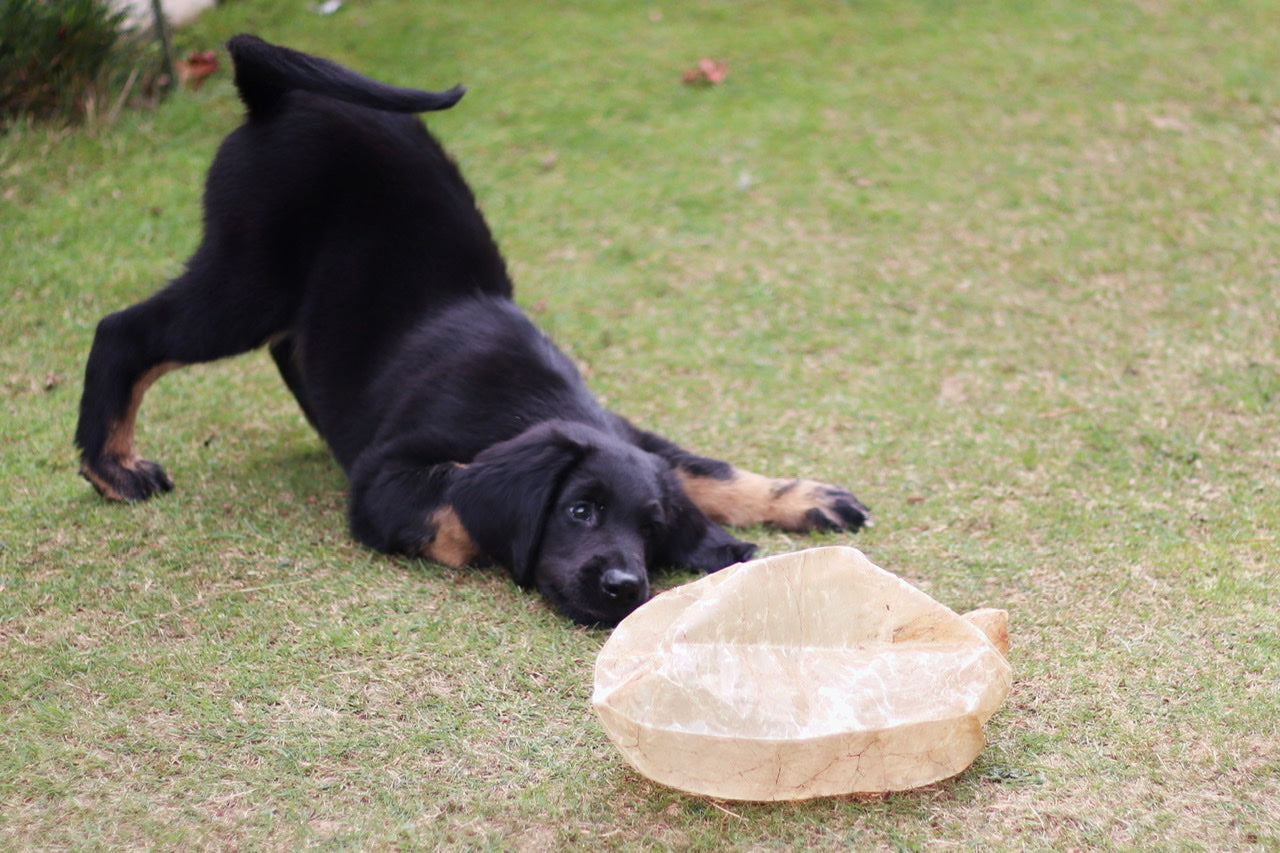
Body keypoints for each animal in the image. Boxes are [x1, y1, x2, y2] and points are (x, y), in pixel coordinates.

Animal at [72, 34, 870, 625]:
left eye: (648, 527)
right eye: (579, 510)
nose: (624, 588)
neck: (530, 408)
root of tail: (274, 90)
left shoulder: (634, 433)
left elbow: (708, 468)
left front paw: (800, 499)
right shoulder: (385, 481)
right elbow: (460, 512)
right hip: (246, 280)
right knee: (126, 331)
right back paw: (111, 466)